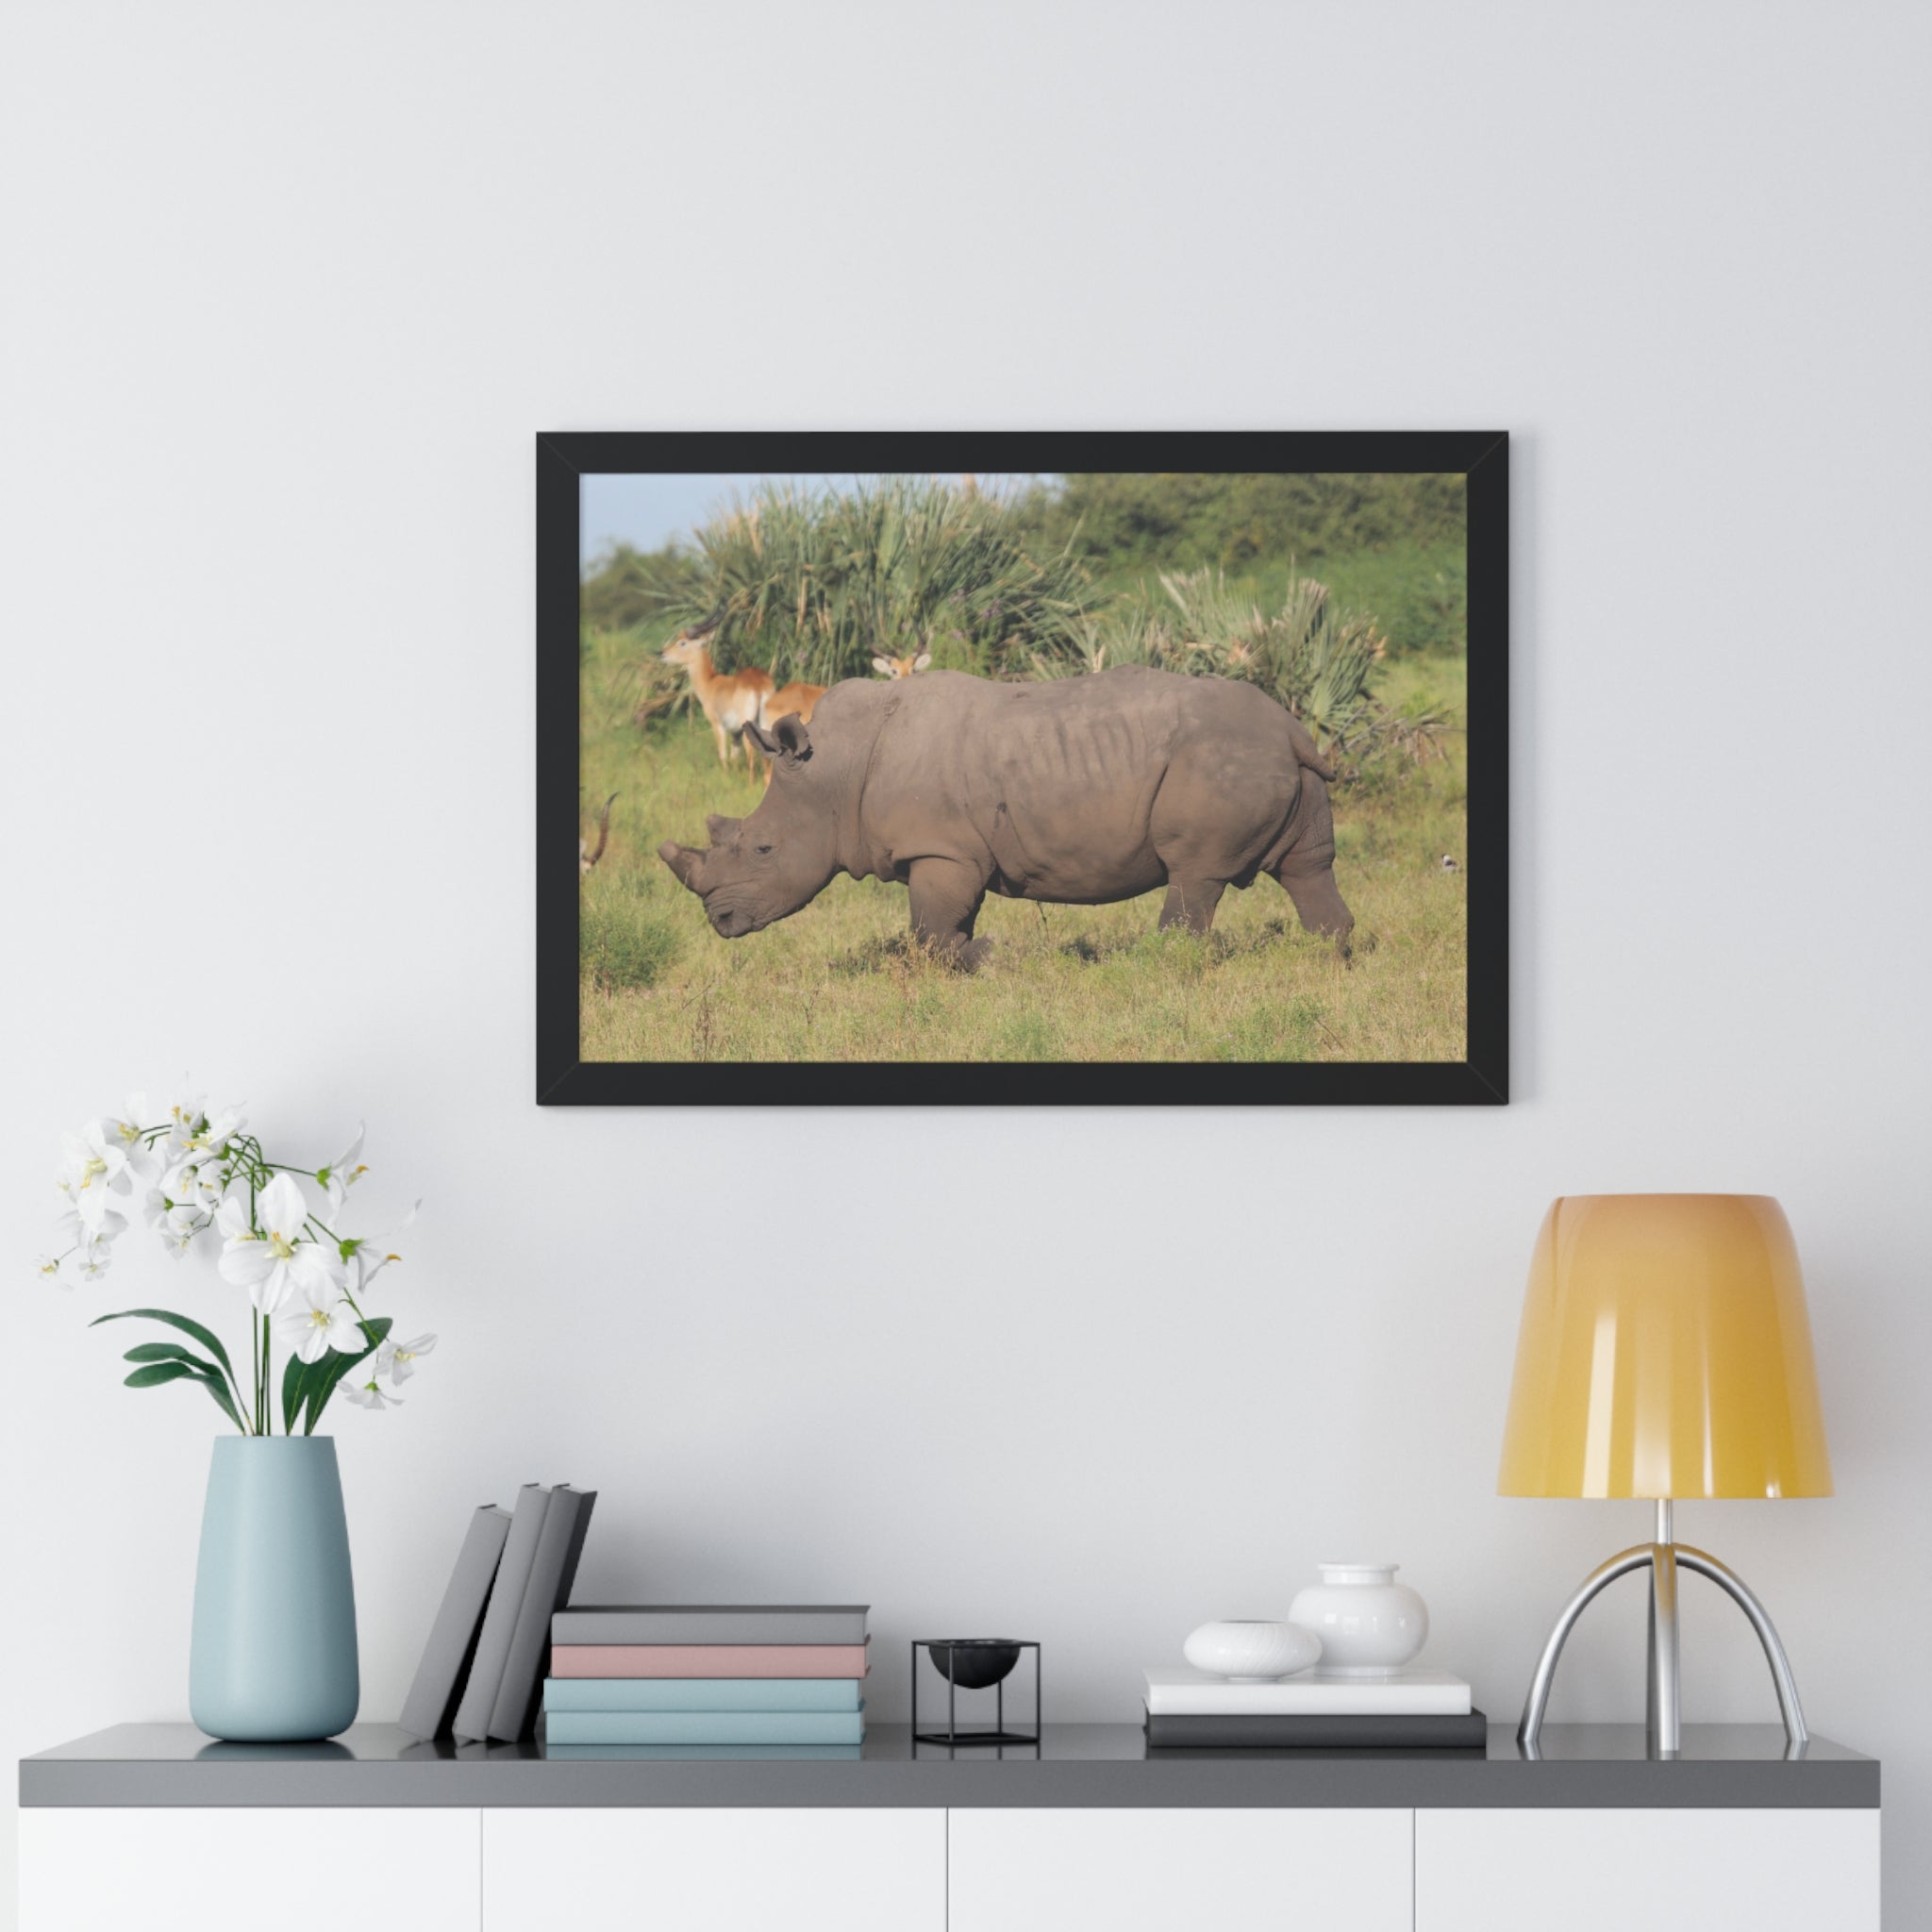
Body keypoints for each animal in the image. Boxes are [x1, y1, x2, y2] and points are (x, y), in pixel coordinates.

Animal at [657, 666, 1353, 968]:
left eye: (763, 850)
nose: (720, 921)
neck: (834, 771)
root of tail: (1292, 729)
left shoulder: (939, 848)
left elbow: (930, 930)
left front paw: (989, 957)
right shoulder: (951, 851)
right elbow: (944, 924)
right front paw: (979, 957)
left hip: (1218, 761)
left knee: (1195, 874)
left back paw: (1163, 970)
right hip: (1272, 761)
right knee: (1307, 867)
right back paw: (1328, 962)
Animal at [660, 617, 775, 775]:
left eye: (682, 642)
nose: (662, 653)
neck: (710, 683)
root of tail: (758, 685)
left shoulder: (718, 725)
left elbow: (723, 755)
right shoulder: (735, 732)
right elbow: (734, 757)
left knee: (751, 755)